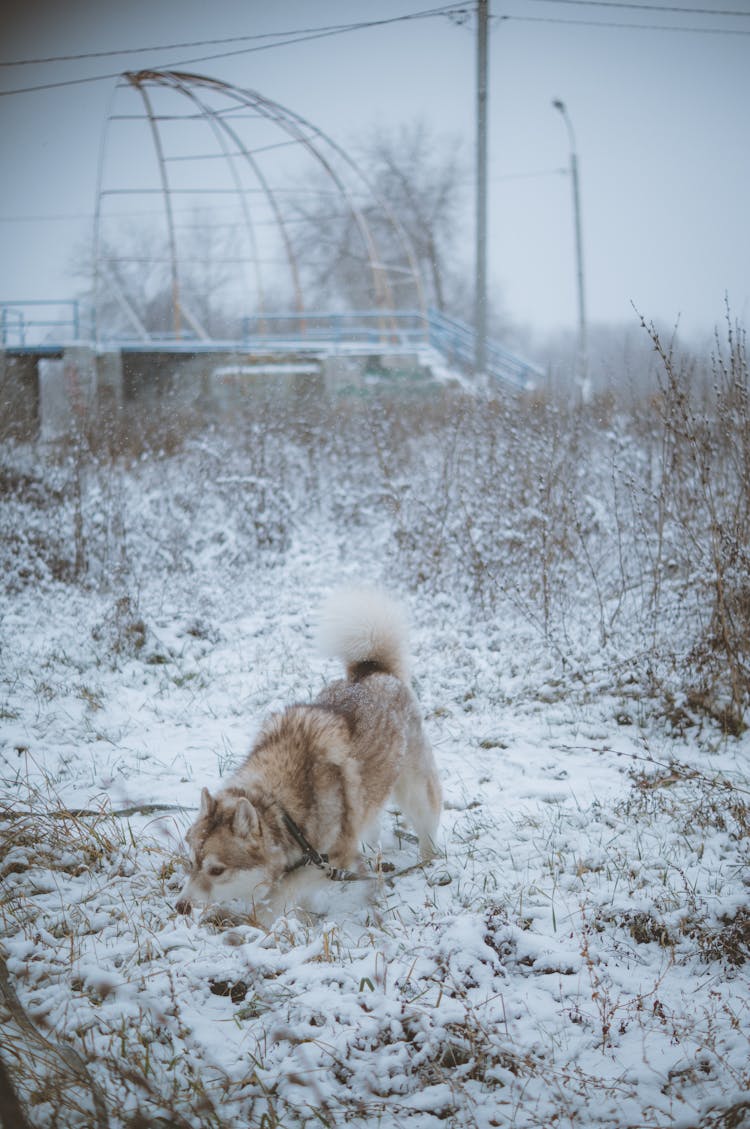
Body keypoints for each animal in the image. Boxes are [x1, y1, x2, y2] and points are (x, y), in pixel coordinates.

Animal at [176, 587, 442, 921]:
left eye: (216, 870)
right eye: (191, 863)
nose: (180, 906)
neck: (282, 807)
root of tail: (372, 670)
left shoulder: (331, 860)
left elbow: (280, 893)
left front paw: (260, 921)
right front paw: (305, 917)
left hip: (416, 793)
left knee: (426, 827)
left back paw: (428, 864)